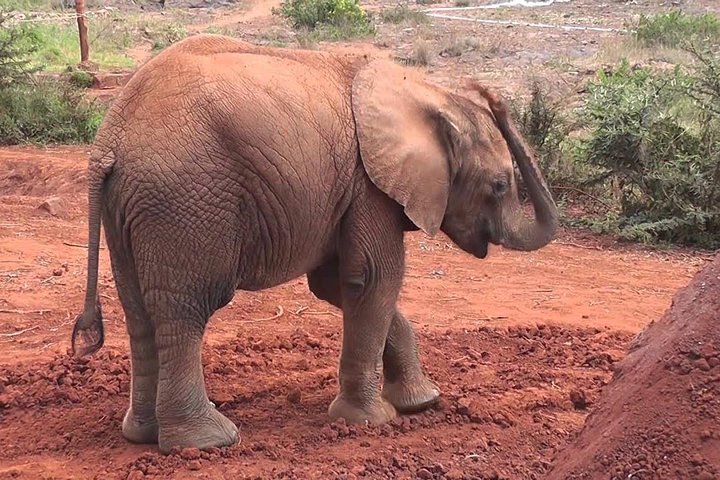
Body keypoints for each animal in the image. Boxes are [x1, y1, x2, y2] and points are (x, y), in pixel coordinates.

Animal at [70, 34, 558, 454]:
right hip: (184, 200)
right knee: (187, 309)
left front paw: (422, 403)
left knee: (140, 310)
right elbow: (373, 279)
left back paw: (143, 436)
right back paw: (208, 443)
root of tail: (110, 139)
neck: (425, 94)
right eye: (499, 186)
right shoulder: (368, 185)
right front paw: (373, 421)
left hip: (131, 206)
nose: (489, 91)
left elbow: (335, 284)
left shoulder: (351, 189)